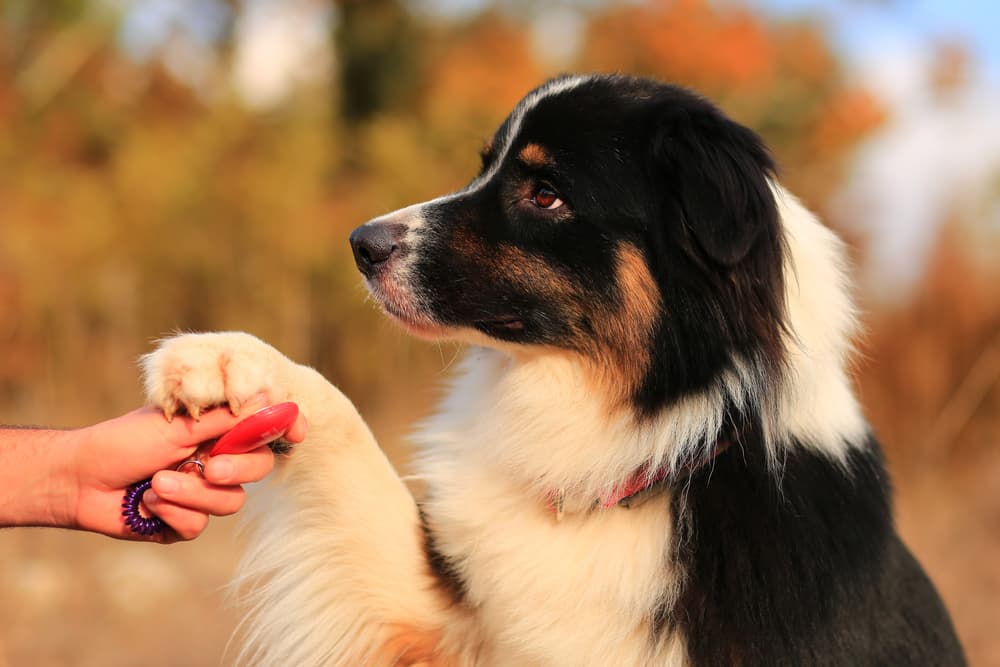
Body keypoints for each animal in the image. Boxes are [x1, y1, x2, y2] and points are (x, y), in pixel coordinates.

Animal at [139, 75, 960, 664]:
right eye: (485, 169)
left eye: (545, 192)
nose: (362, 243)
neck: (637, 460)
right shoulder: (449, 618)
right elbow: (345, 433)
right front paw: (226, 358)